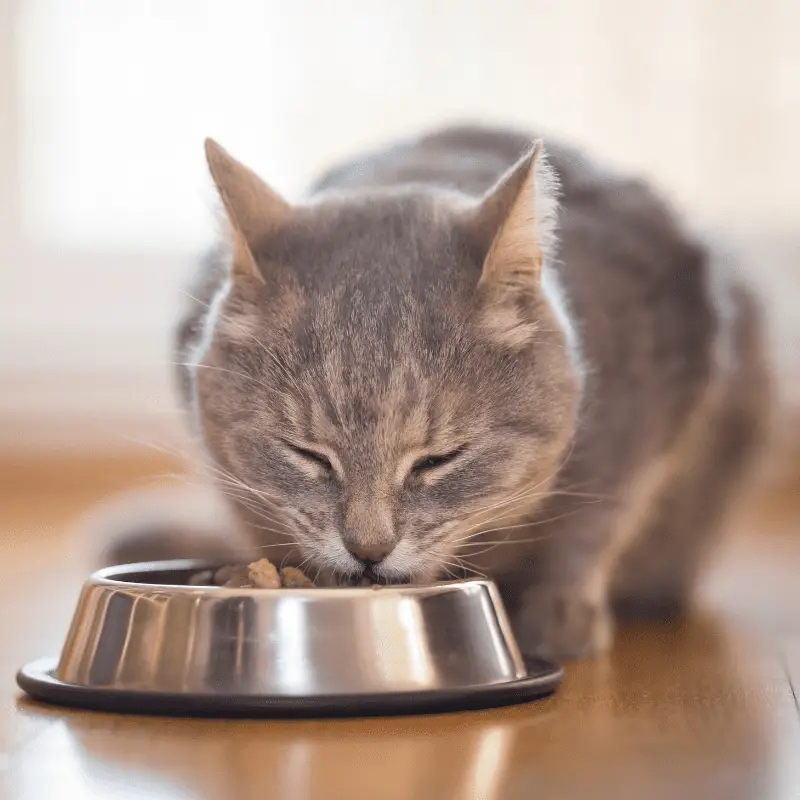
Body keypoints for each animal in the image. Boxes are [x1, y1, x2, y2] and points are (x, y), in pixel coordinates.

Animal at [101, 125, 768, 660]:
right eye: (308, 456)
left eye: (439, 460)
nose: (369, 550)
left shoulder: (659, 396)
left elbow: (599, 517)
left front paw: (561, 608)